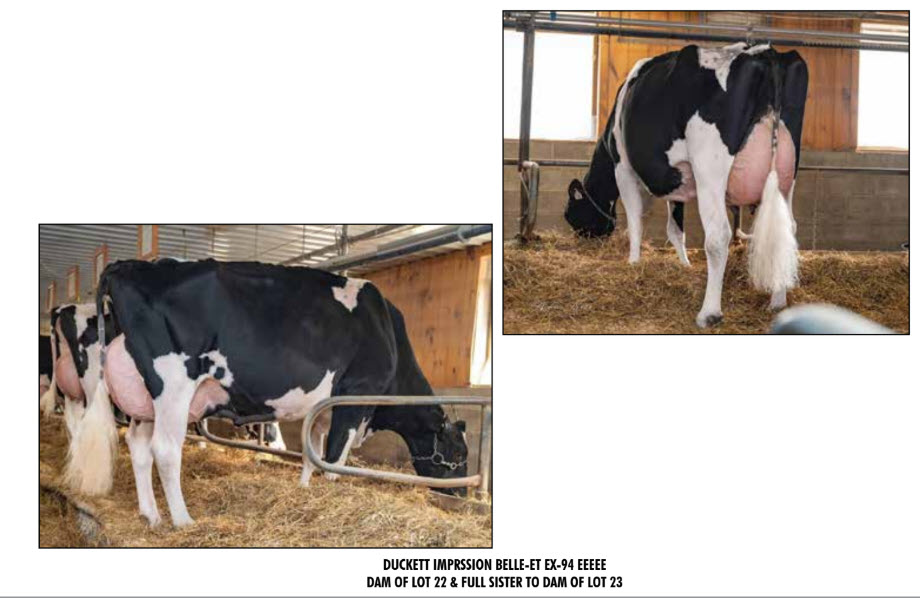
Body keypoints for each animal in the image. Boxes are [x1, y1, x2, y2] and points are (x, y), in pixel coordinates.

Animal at [68, 258, 469, 527]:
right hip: (174, 386)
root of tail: (128, 265)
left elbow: (313, 452)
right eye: (457, 452)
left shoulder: (324, 408)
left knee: (137, 445)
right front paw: (332, 490)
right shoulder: (355, 398)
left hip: (144, 398)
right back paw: (182, 520)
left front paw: (305, 489)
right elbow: (335, 459)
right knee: (164, 451)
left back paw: (150, 514)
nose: (463, 493)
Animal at [565, 42, 808, 327]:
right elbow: (674, 227)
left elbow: (636, 220)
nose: (581, 239)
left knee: (718, 236)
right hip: (786, 173)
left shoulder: (623, 168)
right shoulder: (679, 177)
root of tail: (765, 52)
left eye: (570, 214)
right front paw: (684, 264)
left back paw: (709, 313)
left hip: (709, 169)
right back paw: (778, 300)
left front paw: (633, 262)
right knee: (787, 229)